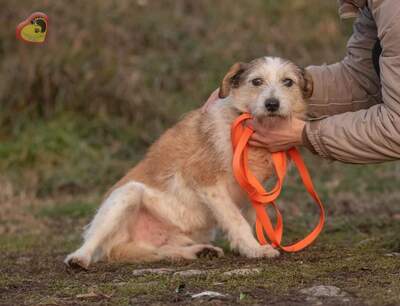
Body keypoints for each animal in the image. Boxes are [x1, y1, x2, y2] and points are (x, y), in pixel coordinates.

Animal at [65, 56, 312, 268]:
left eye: (288, 82)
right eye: (256, 81)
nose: (272, 104)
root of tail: (120, 246)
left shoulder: (255, 190)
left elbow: (250, 219)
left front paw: (249, 247)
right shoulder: (206, 182)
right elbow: (237, 220)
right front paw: (254, 249)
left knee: (163, 251)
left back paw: (200, 251)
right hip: (126, 195)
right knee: (92, 241)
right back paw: (79, 258)